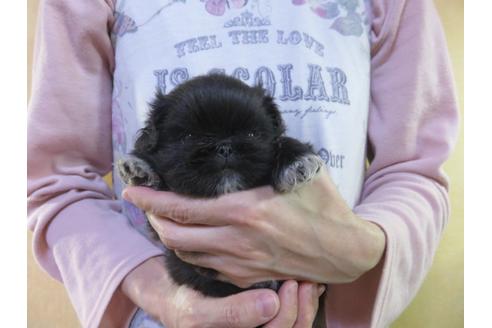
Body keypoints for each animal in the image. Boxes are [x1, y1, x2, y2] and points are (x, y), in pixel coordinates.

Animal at [118, 74, 324, 328]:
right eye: (189, 137)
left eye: (252, 134)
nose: (225, 147)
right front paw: (141, 166)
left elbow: (282, 141)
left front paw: (297, 160)